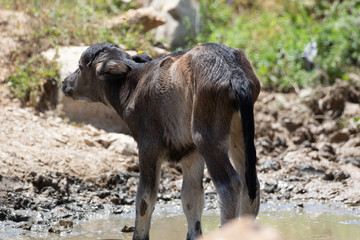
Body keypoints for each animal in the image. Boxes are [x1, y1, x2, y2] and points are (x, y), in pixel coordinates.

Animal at [61, 42, 258, 240]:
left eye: (80, 67)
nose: (64, 83)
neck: (131, 87)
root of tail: (234, 72)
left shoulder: (148, 147)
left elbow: (144, 200)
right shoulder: (190, 152)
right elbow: (191, 198)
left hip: (206, 138)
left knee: (230, 185)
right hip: (238, 134)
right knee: (250, 184)